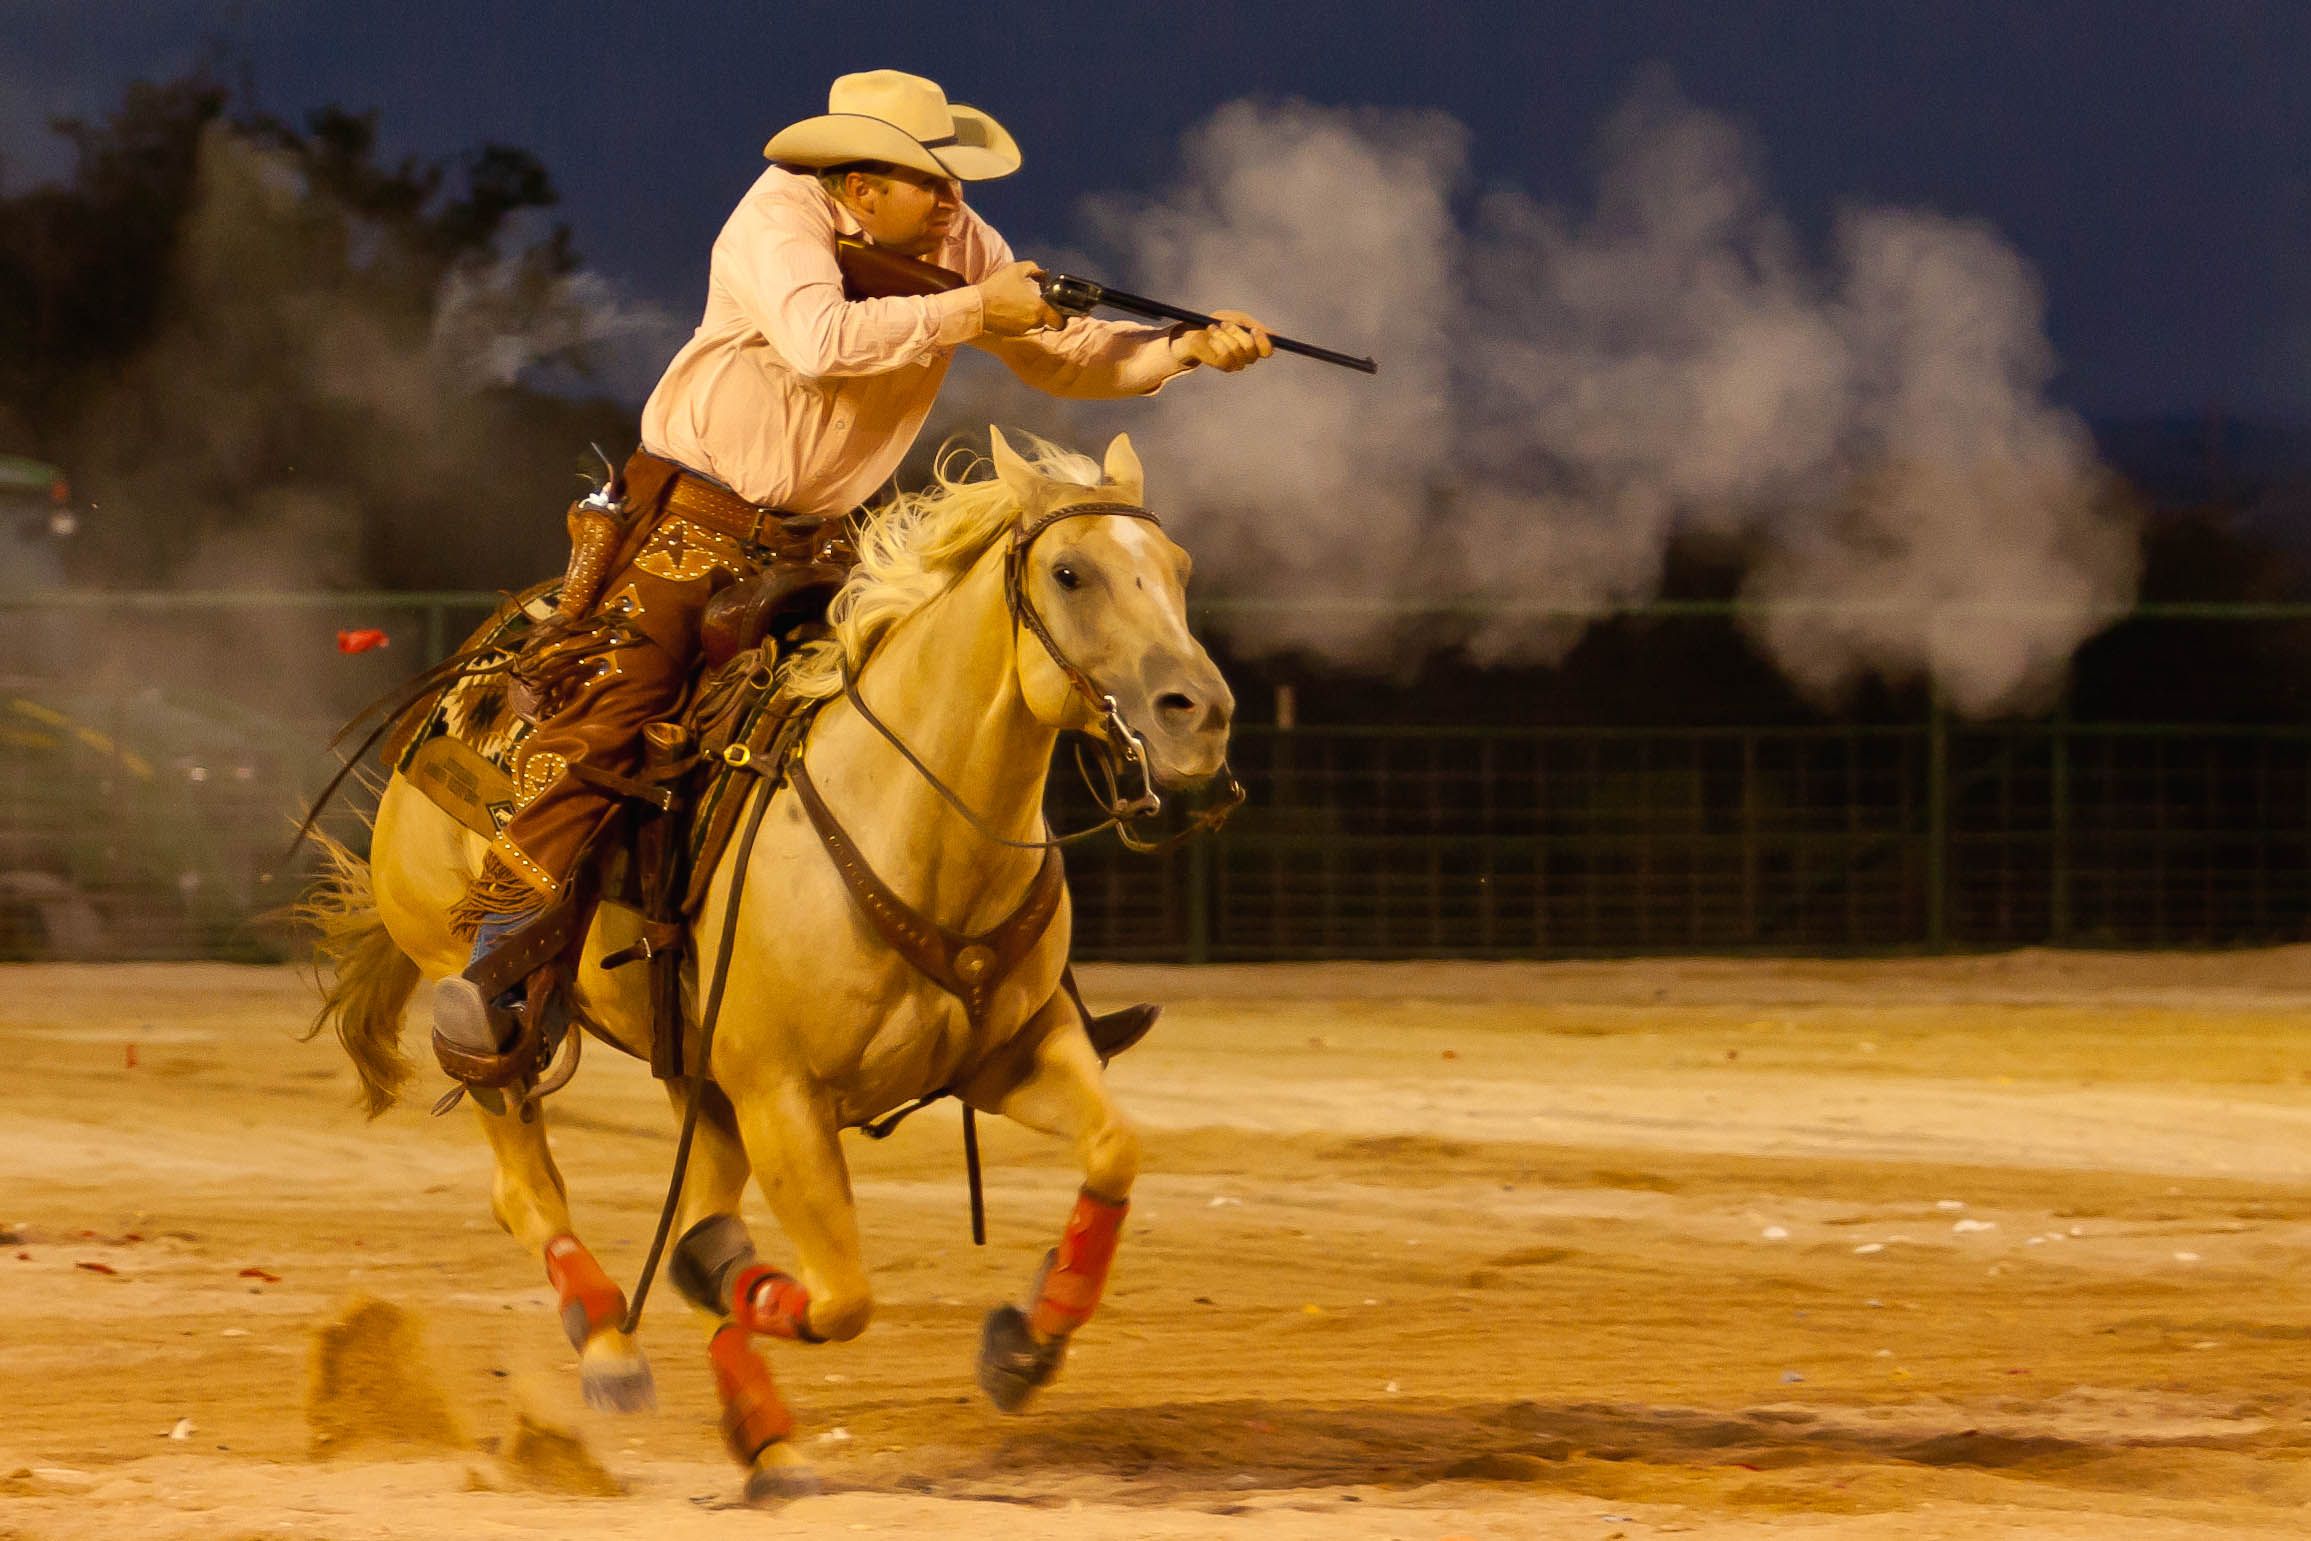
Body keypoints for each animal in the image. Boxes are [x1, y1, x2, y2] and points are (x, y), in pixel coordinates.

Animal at [314, 427, 1238, 1497]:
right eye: (1069, 572)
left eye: (1177, 570)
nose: (1199, 715)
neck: (910, 821)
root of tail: (475, 673)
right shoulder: (783, 1097)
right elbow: (838, 1295)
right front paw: (723, 1293)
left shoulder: (1011, 1055)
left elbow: (1113, 1151)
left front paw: (1022, 1346)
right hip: (487, 1007)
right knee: (524, 1179)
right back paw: (611, 1344)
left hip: (698, 1073)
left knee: (691, 1192)